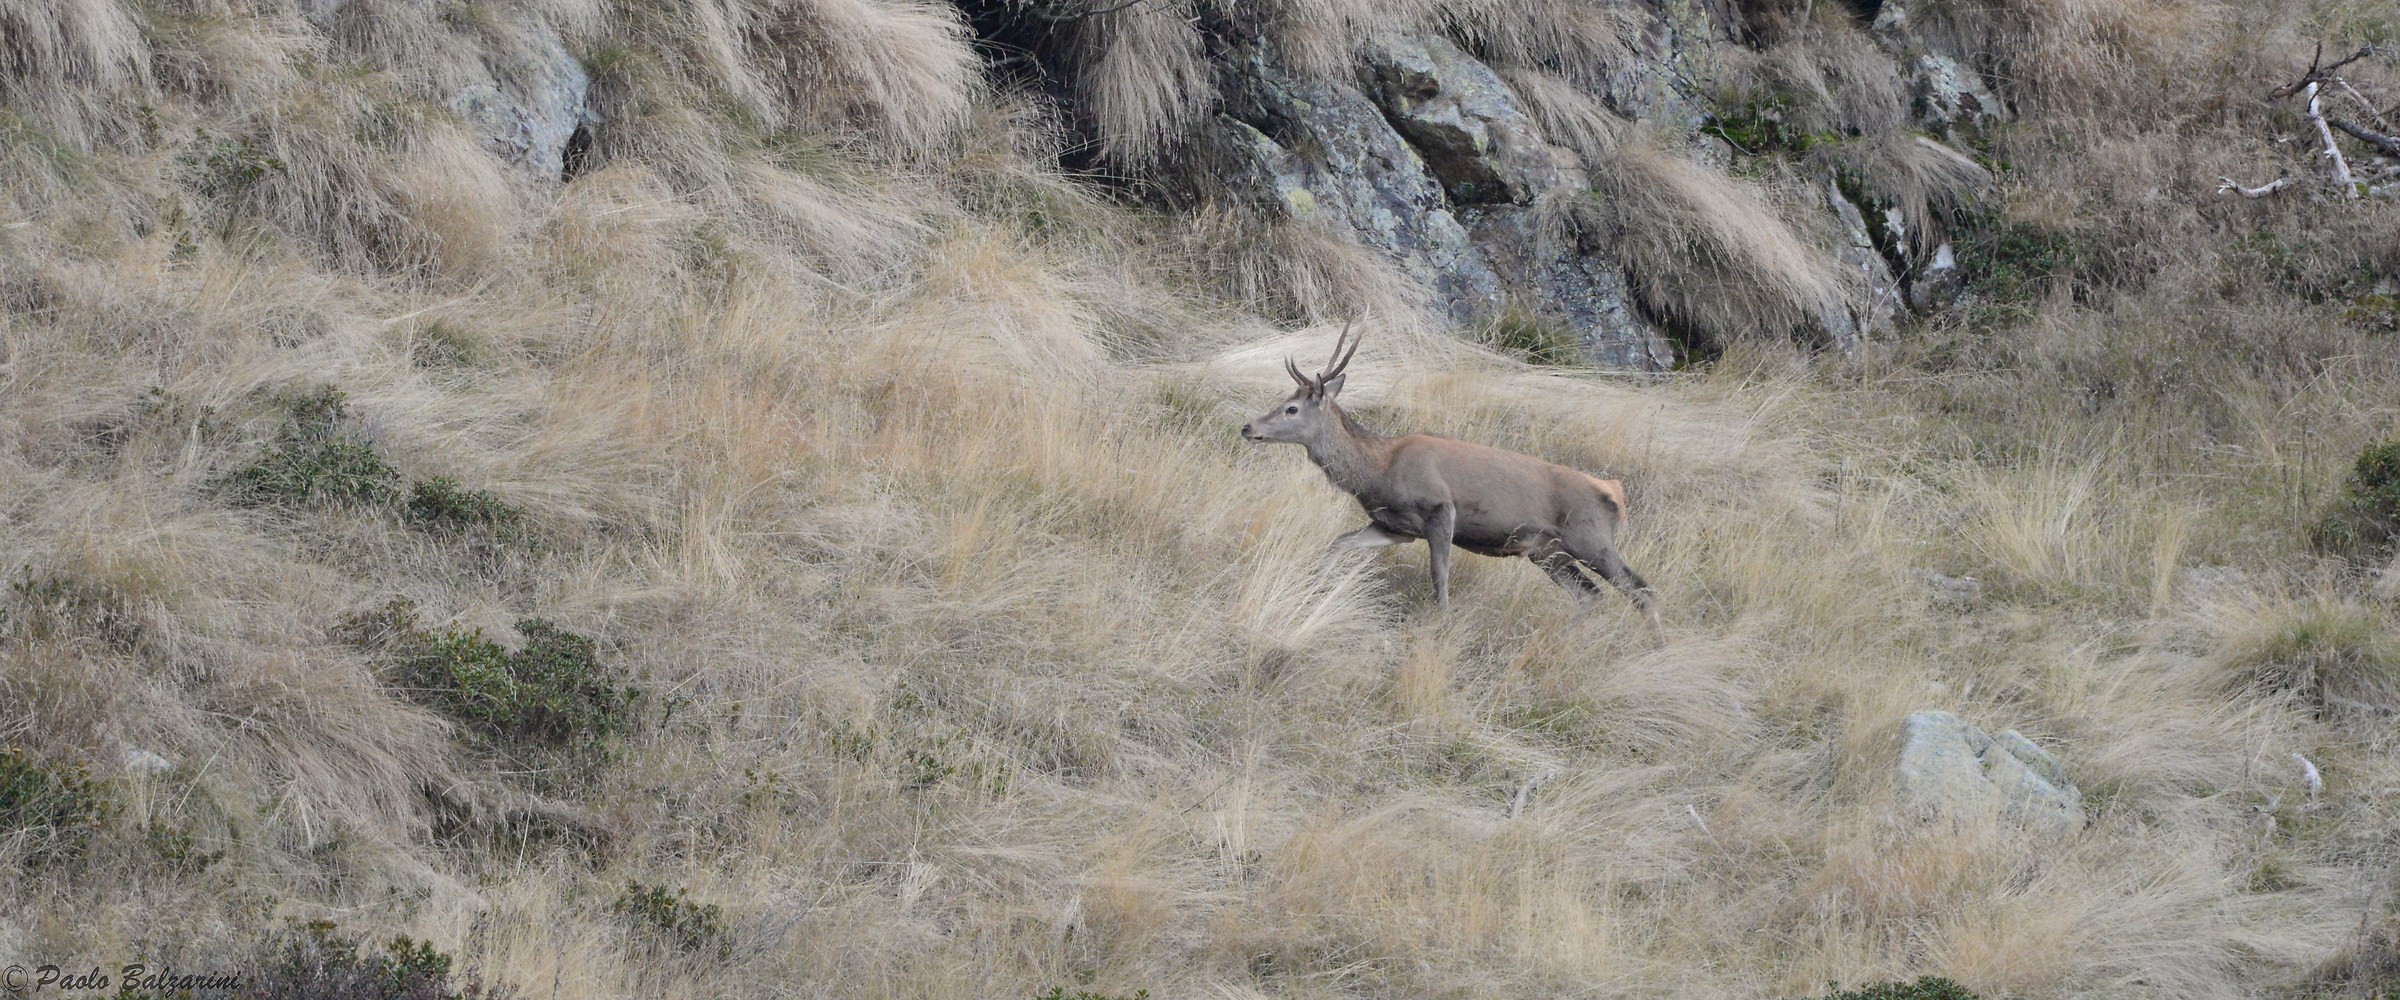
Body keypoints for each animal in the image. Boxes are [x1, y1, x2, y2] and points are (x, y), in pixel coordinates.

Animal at [1240, 323, 1662, 631]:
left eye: (1291, 408)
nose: (1248, 427)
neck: (1378, 469)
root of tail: (1614, 494)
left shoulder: (1440, 508)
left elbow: (1439, 573)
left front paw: (1439, 622)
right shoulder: (1395, 526)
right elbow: (1339, 543)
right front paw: (1314, 585)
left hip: (1590, 538)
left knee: (1641, 590)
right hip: (1547, 552)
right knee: (1589, 595)